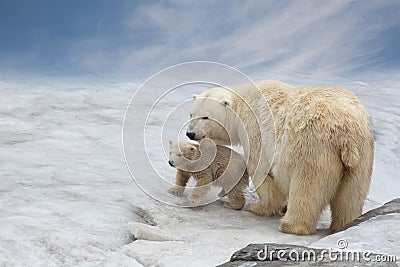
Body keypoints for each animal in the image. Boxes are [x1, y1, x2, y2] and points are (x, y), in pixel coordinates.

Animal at [186, 80, 374, 236]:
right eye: (191, 114)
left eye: (206, 116)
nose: (190, 133)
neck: (243, 104)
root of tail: (345, 131)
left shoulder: (256, 131)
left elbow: (261, 170)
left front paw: (259, 207)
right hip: (361, 157)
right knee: (351, 195)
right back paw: (345, 225)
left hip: (313, 149)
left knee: (307, 188)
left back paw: (291, 226)